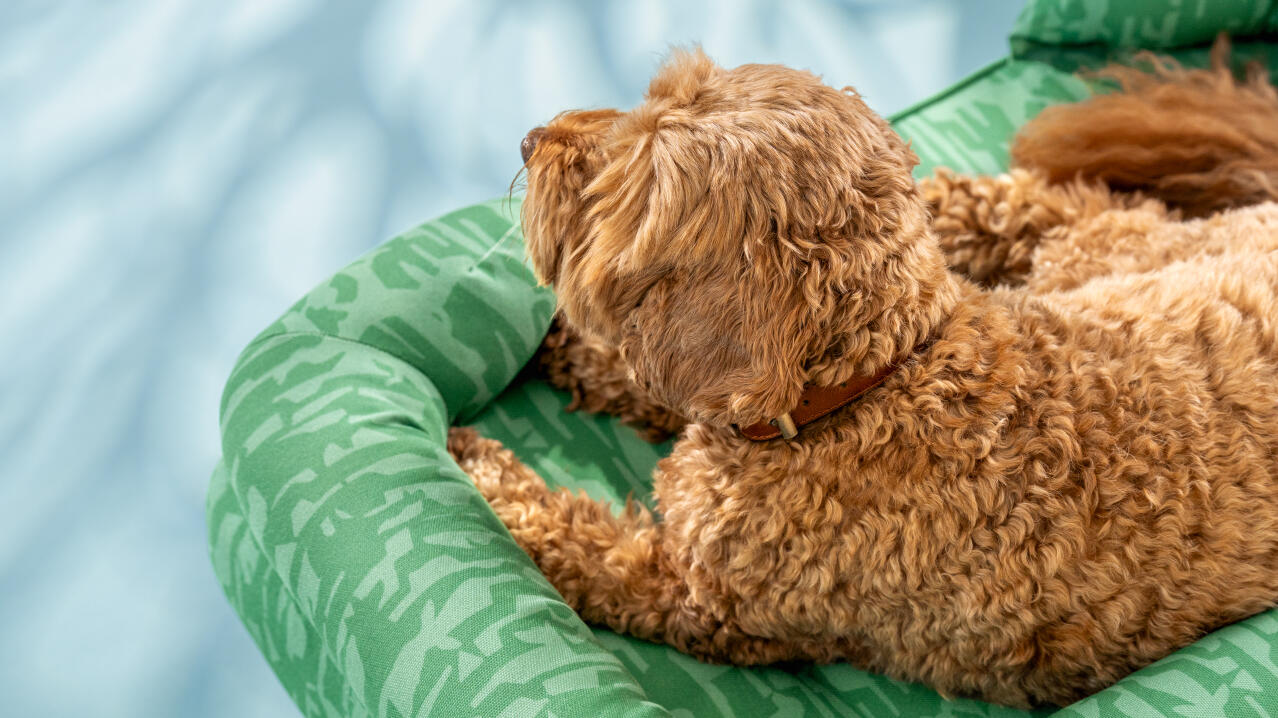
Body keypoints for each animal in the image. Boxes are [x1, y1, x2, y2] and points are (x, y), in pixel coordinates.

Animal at [447, 40, 1278, 705]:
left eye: (633, 165)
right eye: (651, 98)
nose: (531, 139)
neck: (869, 385)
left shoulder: (700, 600)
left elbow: (580, 544)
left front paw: (478, 468)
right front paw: (562, 351)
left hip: (1104, 253)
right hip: (1097, 252)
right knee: (1055, 201)